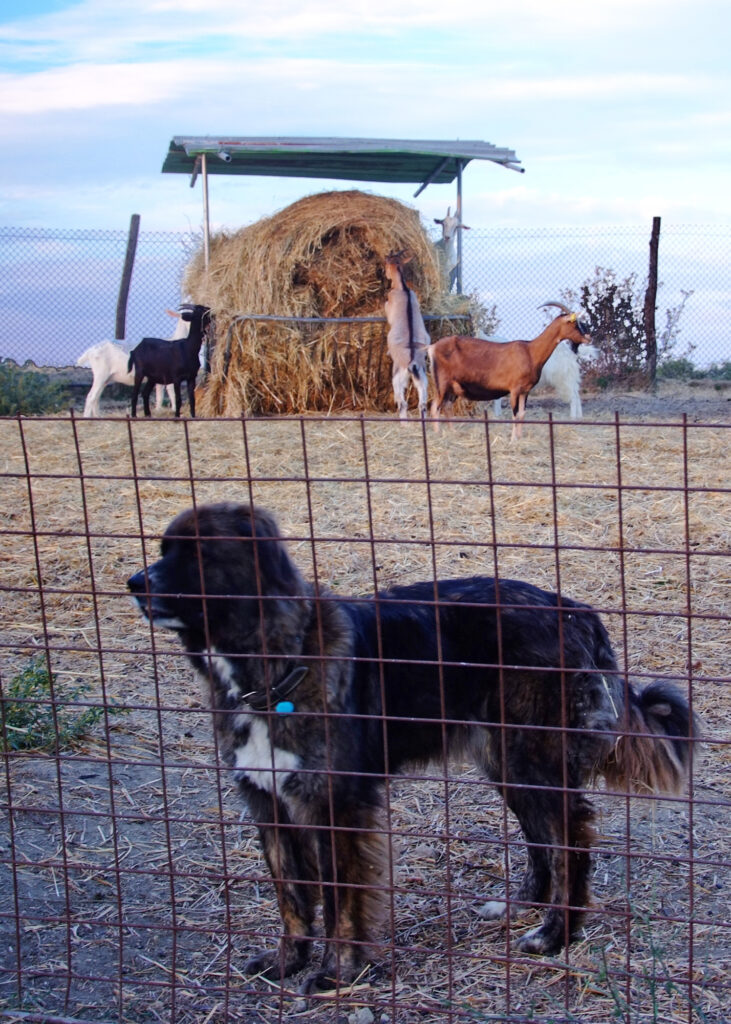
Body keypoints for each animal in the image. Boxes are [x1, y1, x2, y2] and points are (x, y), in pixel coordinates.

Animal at [127, 501, 696, 991]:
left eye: (198, 553)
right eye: (164, 548)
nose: (133, 583)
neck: (271, 666)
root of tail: (575, 611)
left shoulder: (337, 805)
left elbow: (340, 898)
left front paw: (338, 973)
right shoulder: (267, 801)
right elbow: (291, 893)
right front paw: (288, 961)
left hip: (531, 759)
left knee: (570, 840)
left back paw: (556, 934)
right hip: (506, 762)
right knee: (543, 839)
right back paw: (522, 909)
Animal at [380, 247, 427, 419]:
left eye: (386, 263)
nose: (385, 274)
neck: (403, 289)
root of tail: (412, 363)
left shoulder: (388, 307)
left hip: (398, 376)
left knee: (402, 402)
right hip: (422, 376)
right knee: (422, 404)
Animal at [427, 299, 593, 438]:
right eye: (575, 323)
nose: (588, 337)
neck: (530, 351)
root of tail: (432, 348)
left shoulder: (525, 391)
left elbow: (522, 414)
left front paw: (519, 438)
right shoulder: (514, 389)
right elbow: (515, 414)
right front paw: (513, 439)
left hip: (453, 388)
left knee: (447, 407)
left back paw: (452, 432)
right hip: (442, 384)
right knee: (435, 407)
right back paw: (438, 435)